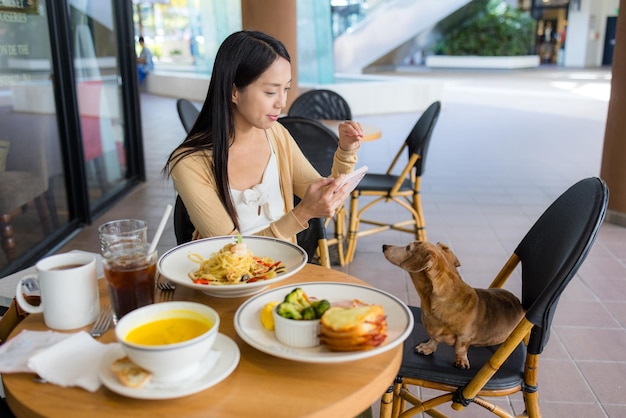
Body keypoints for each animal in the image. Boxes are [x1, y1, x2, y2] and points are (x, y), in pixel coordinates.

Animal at [380, 240, 520, 368]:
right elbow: (433, 339)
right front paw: (427, 347)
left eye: (408, 247)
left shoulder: (465, 336)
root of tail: (518, 302)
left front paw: (461, 361)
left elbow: (460, 348)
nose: (384, 246)